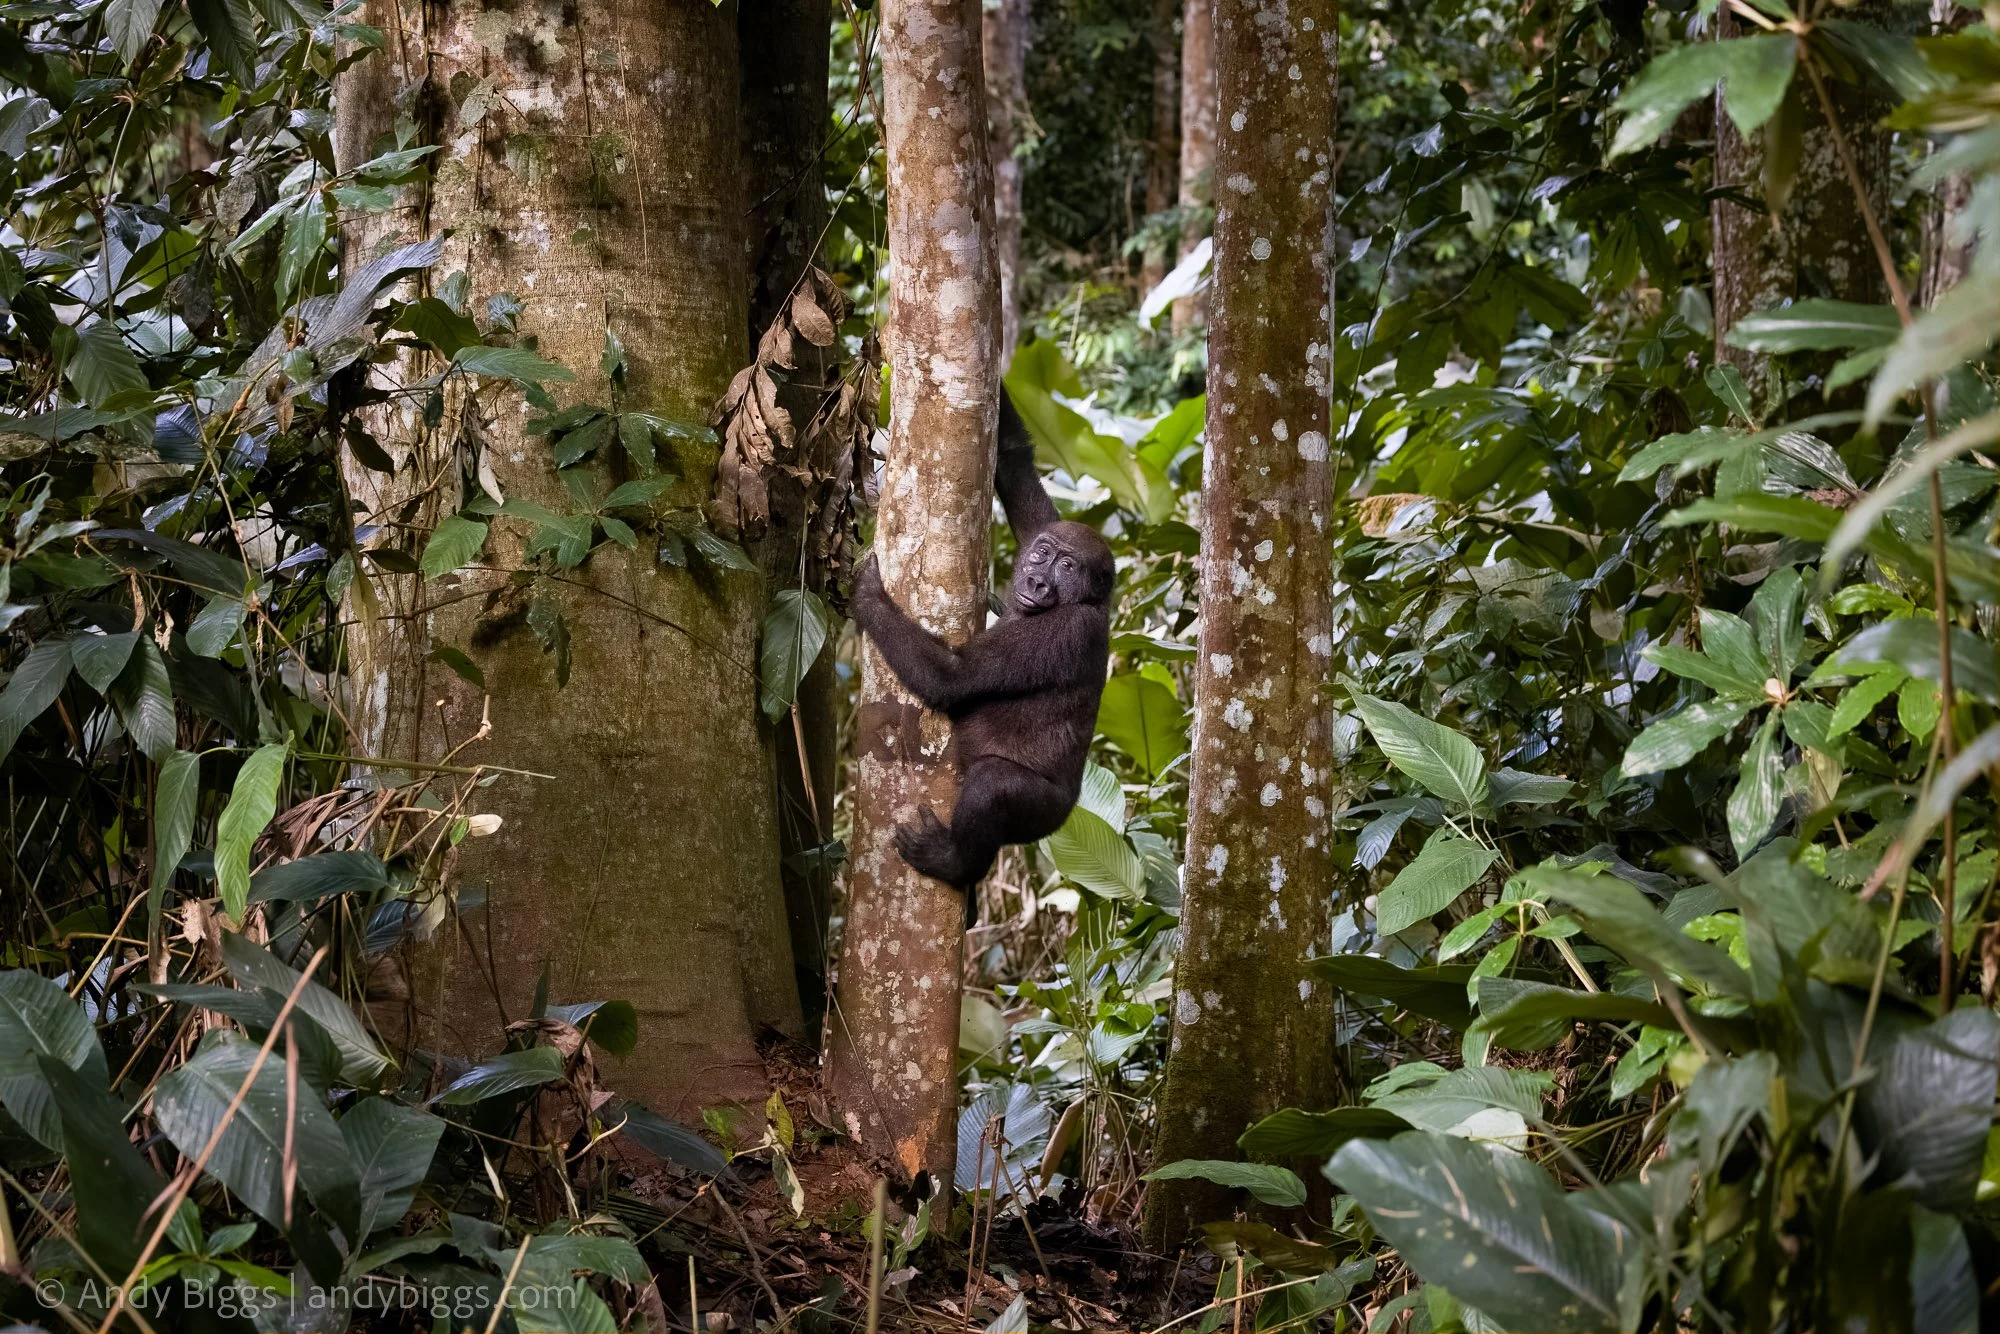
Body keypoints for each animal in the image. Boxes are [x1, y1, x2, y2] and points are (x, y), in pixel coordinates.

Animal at [850, 391, 1115, 914]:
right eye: (1043, 553)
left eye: (1068, 567)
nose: (1036, 581)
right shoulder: (1043, 525)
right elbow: (1013, 461)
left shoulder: (1068, 630)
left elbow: (953, 675)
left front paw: (869, 597)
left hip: (1048, 817)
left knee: (993, 785)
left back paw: (955, 864)